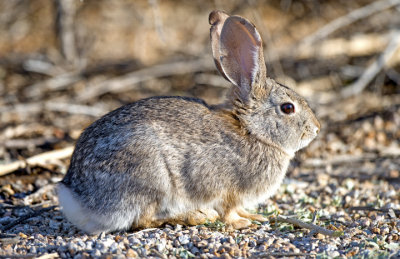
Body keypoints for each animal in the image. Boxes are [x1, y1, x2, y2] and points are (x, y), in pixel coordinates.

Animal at [57, 10, 318, 235]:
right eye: (288, 108)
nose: (315, 129)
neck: (252, 130)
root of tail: (76, 196)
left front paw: (253, 216)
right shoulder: (228, 190)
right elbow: (229, 211)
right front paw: (241, 222)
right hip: (151, 179)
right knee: (143, 219)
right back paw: (195, 216)